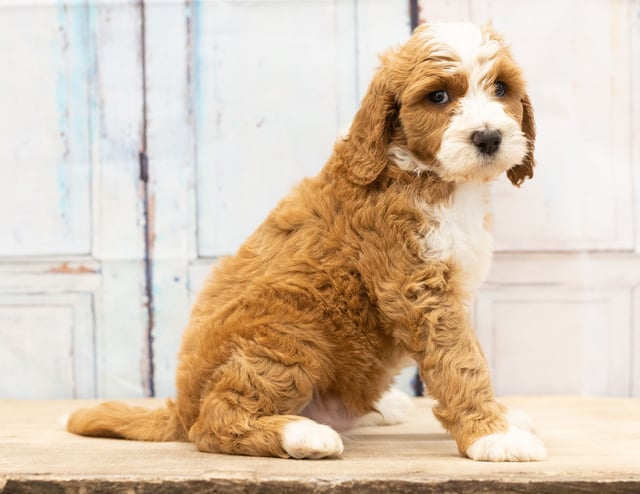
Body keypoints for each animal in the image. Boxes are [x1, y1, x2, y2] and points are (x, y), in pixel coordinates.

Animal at [71, 22, 552, 464]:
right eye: (438, 97)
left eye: (502, 88)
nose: (489, 137)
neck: (430, 177)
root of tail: (180, 408)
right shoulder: (417, 287)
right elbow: (460, 360)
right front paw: (492, 435)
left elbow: (468, 354)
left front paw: (503, 418)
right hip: (290, 330)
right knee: (214, 423)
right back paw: (303, 434)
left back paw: (377, 408)